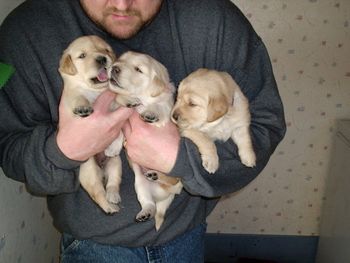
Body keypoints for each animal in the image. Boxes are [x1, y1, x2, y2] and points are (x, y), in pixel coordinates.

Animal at [57, 35, 123, 214]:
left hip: (115, 164)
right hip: (89, 172)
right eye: (82, 56)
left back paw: (113, 197)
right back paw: (109, 208)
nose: (102, 59)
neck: (96, 91)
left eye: (106, 50)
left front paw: (115, 145)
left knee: (112, 183)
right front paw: (83, 107)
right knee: (98, 193)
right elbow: (78, 97)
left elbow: (121, 129)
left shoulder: (117, 109)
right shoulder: (70, 98)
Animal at [108, 51, 183, 231]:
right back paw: (146, 212)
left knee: (173, 179)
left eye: (138, 69)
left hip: (176, 180)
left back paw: (156, 174)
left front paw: (150, 113)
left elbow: (160, 107)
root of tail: (166, 196)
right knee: (149, 203)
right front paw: (113, 148)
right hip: (140, 185)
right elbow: (118, 128)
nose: (114, 68)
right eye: (120, 60)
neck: (142, 98)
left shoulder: (168, 109)